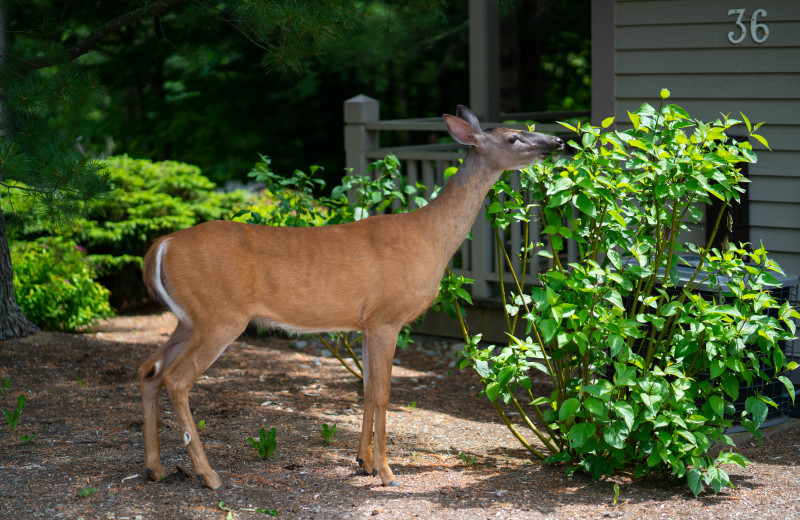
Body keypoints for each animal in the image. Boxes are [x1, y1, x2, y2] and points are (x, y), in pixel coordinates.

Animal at [139, 104, 564, 488]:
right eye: (512, 138)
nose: (558, 141)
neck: (430, 238)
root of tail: (162, 245)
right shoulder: (386, 317)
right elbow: (382, 392)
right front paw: (387, 473)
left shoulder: (365, 322)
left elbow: (365, 388)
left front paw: (364, 462)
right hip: (220, 315)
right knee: (176, 378)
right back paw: (208, 475)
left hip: (189, 318)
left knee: (149, 370)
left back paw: (155, 468)